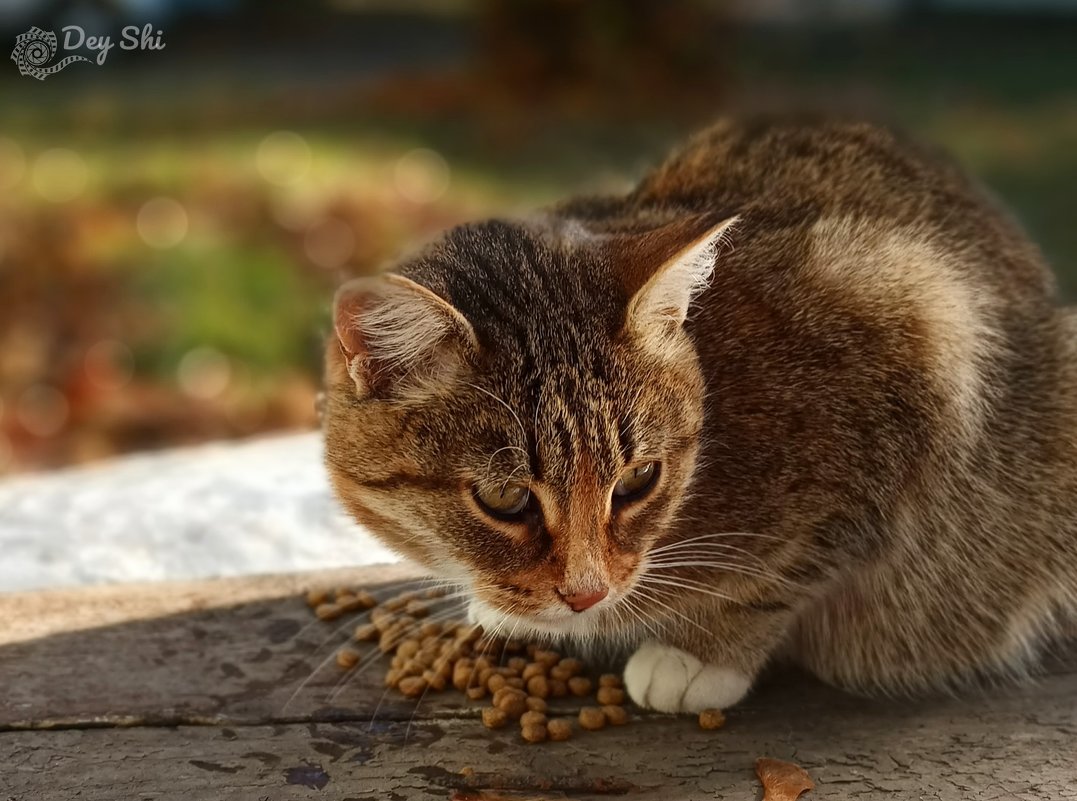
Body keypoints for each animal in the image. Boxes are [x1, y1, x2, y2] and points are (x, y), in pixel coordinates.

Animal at [320, 115, 1077, 710]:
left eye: (637, 481)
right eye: (504, 499)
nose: (586, 594)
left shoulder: (913, 340)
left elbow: (782, 571)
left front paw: (698, 655)